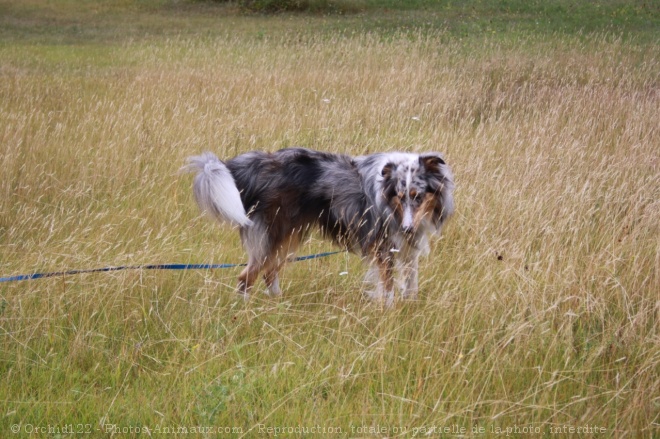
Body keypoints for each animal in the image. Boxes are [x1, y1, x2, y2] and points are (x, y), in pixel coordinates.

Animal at [186, 148, 454, 306]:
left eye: (418, 196)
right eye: (400, 196)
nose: (408, 228)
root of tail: (252, 166)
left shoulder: (408, 249)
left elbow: (411, 286)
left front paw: (410, 310)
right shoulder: (383, 248)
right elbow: (387, 289)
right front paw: (389, 313)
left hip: (290, 237)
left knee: (269, 272)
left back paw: (280, 303)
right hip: (273, 236)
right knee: (246, 277)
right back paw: (244, 311)